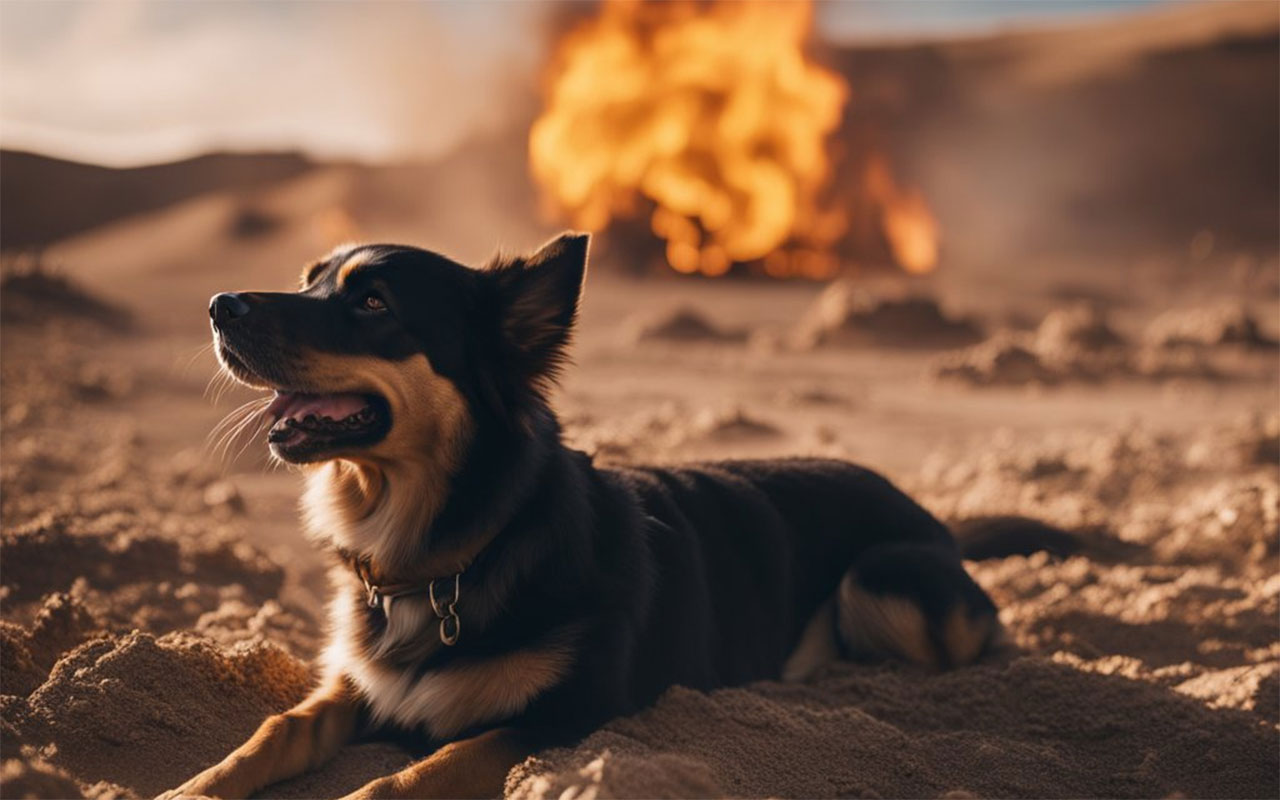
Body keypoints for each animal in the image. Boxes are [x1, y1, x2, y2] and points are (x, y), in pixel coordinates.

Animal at [170, 232, 1024, 798]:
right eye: (310, 281)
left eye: (372, 302)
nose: (217, 306)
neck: (455, 548)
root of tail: (935, 518)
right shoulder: (354, 686)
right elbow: (274, 732)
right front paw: (191, 786)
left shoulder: (563, 716)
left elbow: (417, 774)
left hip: (881, 578)